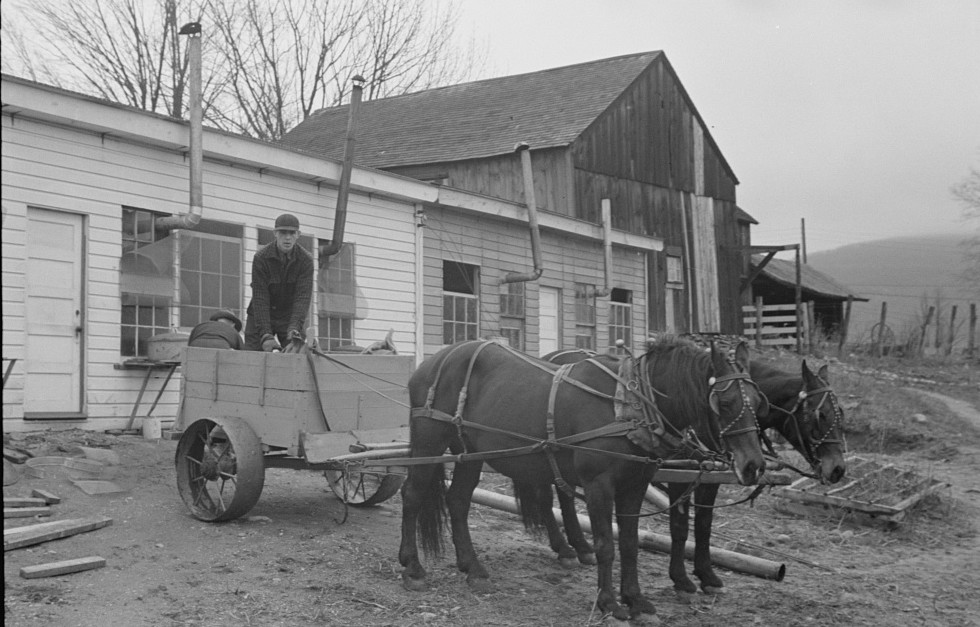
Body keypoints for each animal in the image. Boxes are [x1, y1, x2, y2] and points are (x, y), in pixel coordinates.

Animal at [398, 338, 764, 624]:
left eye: (759, 402)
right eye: (726, 402)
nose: (754, 466)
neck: (629, 406)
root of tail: (433, 360)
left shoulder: (635, 484)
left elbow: (629, 544)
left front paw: (636, 600)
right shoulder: (598, 484)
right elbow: (605, 545)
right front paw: (610, 603)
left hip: (469, 451)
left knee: (458, 501)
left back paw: (472, 568)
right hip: (430, 441)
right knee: (412, 495)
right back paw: (413, 567)